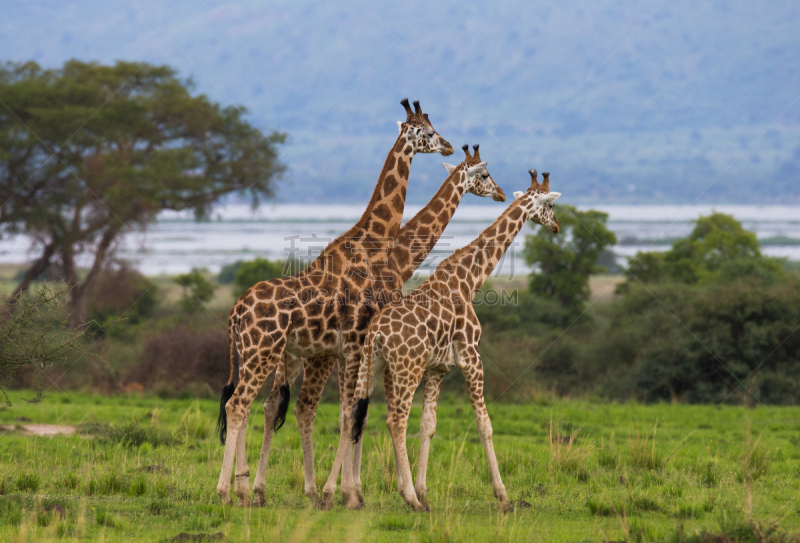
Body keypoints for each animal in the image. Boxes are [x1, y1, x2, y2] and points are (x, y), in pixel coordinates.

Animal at [212, 100, 454, 508]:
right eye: (428, 132)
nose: (450, 146)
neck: (375, 243)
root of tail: (236, 312)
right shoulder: (354, 348)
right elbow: (351, 414)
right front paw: (345, 494)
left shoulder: (347, 352)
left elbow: (353, 414)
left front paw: (347, 492)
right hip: (266, 353)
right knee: (241, 405)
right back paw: (228, 491)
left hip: (256, 355)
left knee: (255, 406)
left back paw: (247, 489)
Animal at [346, 171, 564, 516]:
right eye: (551, 205)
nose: (556, 226)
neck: (469, 279)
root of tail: (377, 333)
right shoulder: (471, 358)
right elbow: (485, 425)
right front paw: (503, 497)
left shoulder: (437, 368)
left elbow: (428, 425)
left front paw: (424, 492)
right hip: (406, 368)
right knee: (395, 421)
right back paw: (407, 499)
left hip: (371, 365)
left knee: (356, 414)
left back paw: (353, 494)